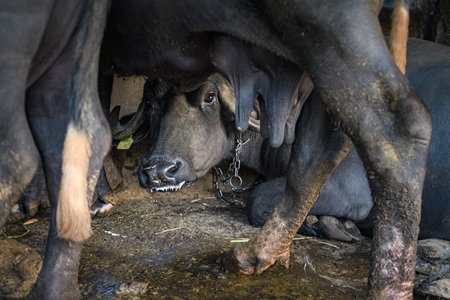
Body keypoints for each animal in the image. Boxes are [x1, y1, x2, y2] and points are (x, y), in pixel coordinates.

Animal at [135, 38, 450, 244]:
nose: (159, 170)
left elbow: (258, 198)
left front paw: (323, 225)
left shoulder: (348, 186)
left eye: (209, 96)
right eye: (150, 102)